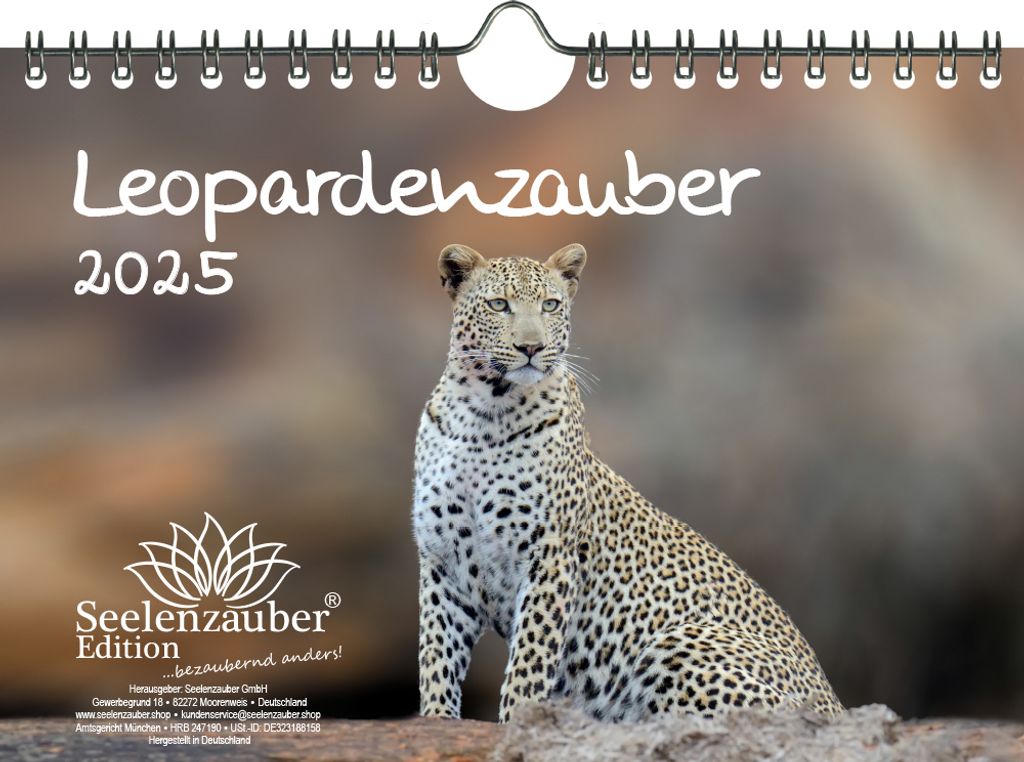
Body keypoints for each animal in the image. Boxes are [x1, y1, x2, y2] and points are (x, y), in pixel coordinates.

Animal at [412, 242, 842, 723]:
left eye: (550, 305)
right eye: (498, 305)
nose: (531, 347)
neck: (483, 414)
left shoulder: (550, 556)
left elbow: (529, 661)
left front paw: (518, 723)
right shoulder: (441, 561)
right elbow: (436, 656)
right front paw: (436, 720)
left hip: (679, 643)